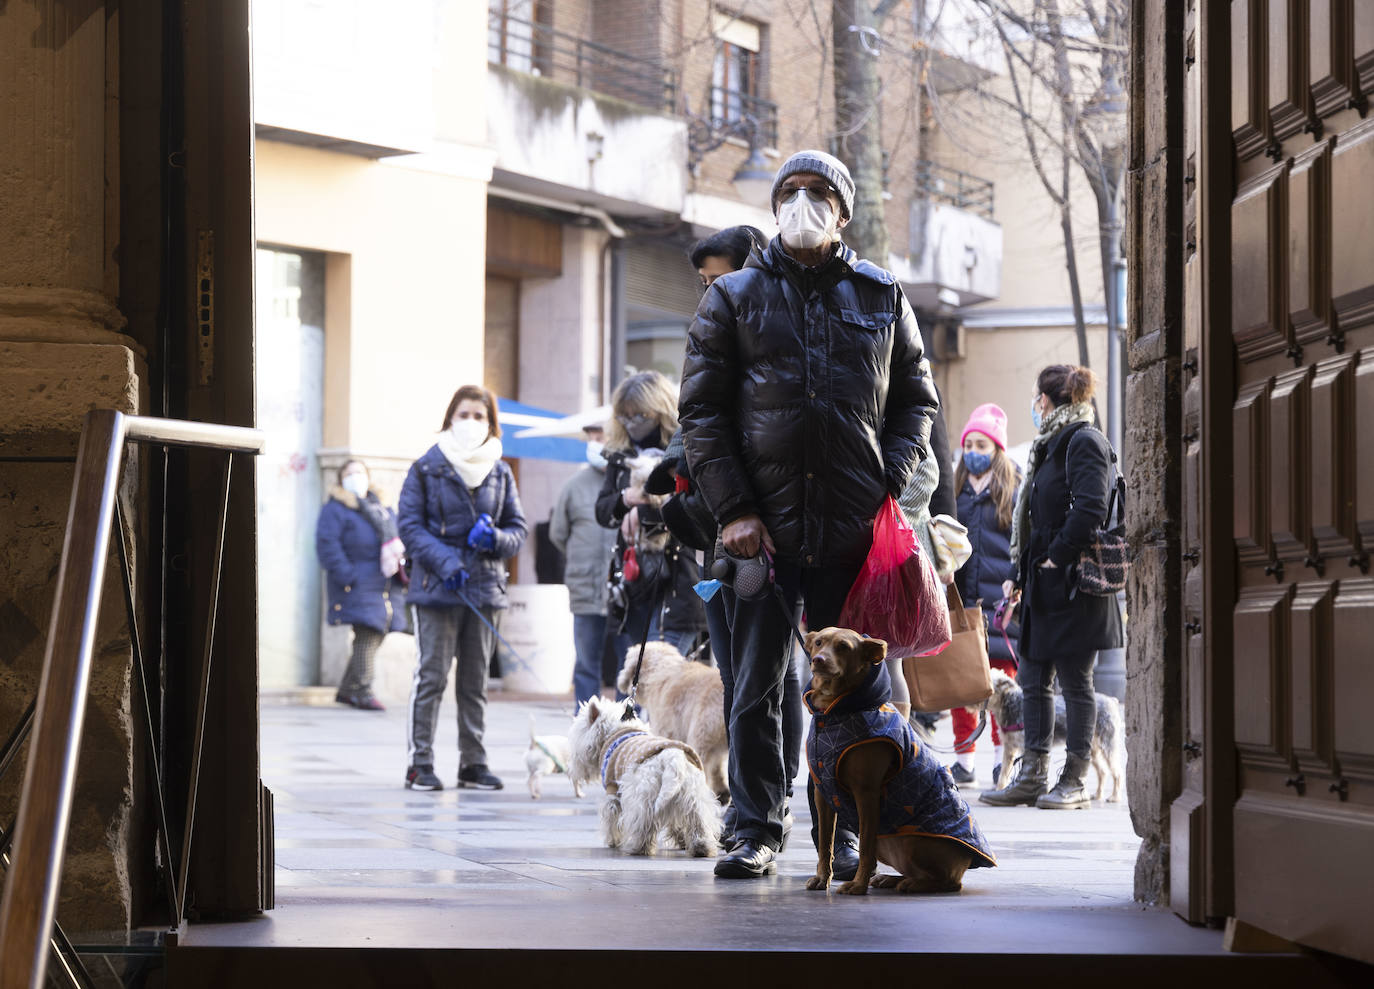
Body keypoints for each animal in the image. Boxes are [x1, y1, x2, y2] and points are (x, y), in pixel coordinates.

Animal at [568, 695, 719, 857]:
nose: (572, 767)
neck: (615, 732)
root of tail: (672, 758)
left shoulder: (613, 789)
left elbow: (612, 817)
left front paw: (613, 841)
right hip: (693, 797)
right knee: (699, 823)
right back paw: (701, 848)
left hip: (644, 797)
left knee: (643, 825)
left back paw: (637, 848)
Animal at [802, 634, 994, 895]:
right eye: (819, 642)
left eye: (844, 647)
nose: (819, 660)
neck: (834, 712)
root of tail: (965, 862)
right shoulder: (823, 793)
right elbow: (825, 843)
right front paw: (823, 878)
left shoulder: (867, 793)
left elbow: (864, 848)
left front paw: (858, 885)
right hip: (887, 840)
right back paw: (891, 879)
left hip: (912, 840)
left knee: (951, 882)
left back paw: (912, 884)